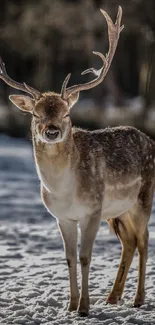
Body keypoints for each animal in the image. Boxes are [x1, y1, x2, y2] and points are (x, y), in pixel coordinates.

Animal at [0, 6, 153, 316]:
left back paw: (138, 298)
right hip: (118, 211)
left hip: (143, 199)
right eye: (35, 114)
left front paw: (84, 307)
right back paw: (112, 297)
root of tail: (150, 140)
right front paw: (70, 306)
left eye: (67, 113)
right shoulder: (62, 217)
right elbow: (69, 258)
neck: (64, 190)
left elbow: (85, 257)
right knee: (130, 242)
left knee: (144, 242)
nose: (52, 130)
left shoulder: (92, 210)